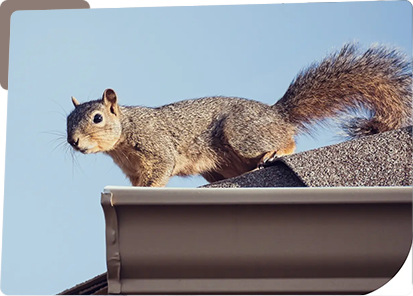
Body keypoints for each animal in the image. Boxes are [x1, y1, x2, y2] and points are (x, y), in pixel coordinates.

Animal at [66, 42, 410, 186]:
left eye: (97, 118)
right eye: (67, 121)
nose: (73, 142)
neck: (124, 134)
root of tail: (277, 114)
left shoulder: (157, 146)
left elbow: (160, 169)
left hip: (242, 134)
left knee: (287, 142)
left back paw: (274, 153)